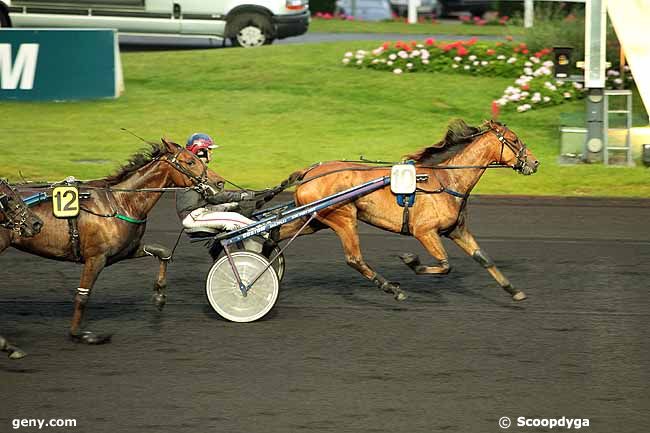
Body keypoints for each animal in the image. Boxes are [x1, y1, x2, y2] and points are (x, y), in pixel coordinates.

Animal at [0, 138, 221, 348]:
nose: (219, 182)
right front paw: (80, 334)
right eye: (191, 161)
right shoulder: (96, 258)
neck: (121, 202)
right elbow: (82, 296)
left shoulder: (126, 250)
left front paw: (159, 297)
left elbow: (162, 252)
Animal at [278, 118, 536, 300]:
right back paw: (393, 289)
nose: (535, 163)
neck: (447, 180)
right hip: (343, 217)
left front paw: (514, 291)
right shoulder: (424, 231)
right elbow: (445, 265)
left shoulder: (457, 230)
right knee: (354, 259)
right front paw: (411, 261)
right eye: (514, 140)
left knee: (276, 235)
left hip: (313, 220)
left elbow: (484, 259)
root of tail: (308, 172)